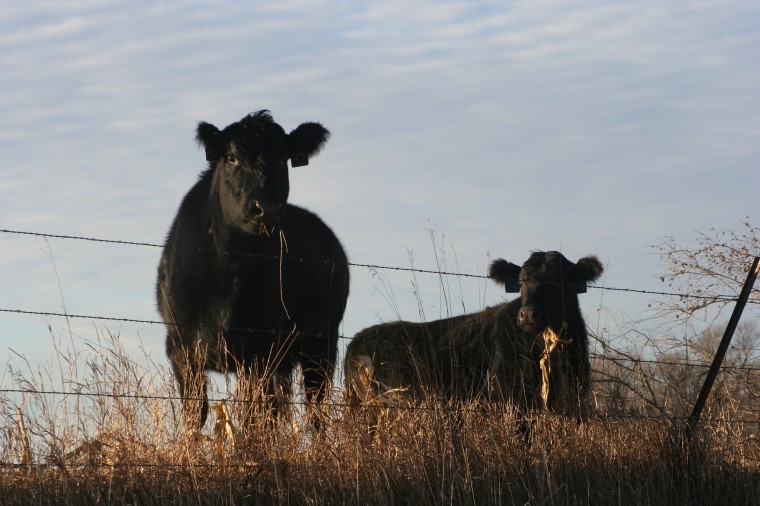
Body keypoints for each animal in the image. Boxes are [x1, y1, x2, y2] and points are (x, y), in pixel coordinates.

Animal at [157, 110, 350, 430]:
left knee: (314, 410)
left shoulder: (258, 350)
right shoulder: (180, 347)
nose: (267, 209)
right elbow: (195, 412)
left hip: (321, 346)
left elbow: (252, 415)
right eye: (231, 158)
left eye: (284, 158)